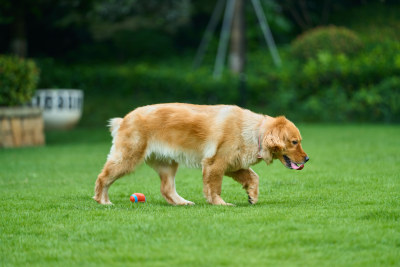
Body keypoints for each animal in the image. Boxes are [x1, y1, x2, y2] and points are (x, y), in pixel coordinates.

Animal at [94, 103, 310, 206]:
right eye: (294, 142)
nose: (307, 159)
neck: (254, 132)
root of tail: (123, 119)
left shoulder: (233, 165)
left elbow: (254, 177)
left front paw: (252, 195)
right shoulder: (215, 164)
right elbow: (214, 188)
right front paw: (220, 203)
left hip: (167, 164)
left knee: (167, 189)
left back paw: (182, 203)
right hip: (128, 158)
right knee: (103, 177)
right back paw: (103, 200)